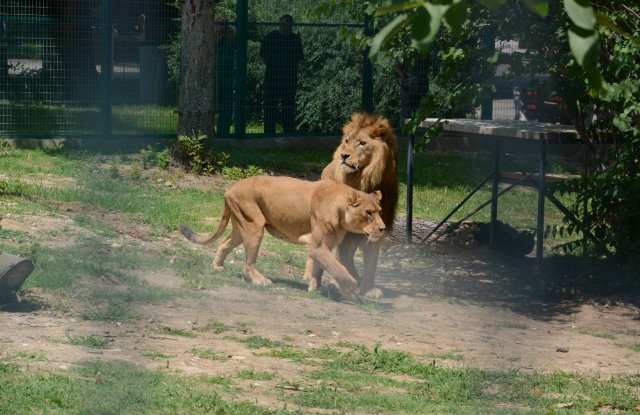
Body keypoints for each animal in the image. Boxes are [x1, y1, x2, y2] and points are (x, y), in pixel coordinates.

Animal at [180, 176, 384, 302]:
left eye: (379, 211)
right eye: (369, 213)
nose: (382, 229)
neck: (341, 210)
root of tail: (229, 189)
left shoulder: (326, 245)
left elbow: (321, 269)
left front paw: (315, 288)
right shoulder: (318, 246)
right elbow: (339, 269)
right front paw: (352, 290)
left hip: (242, 226)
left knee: (224, 243)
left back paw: (217, 266)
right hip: (254, 225)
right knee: (248, 264)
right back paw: (260, 280)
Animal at [304, 112, 398, 300]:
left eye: (362, 143)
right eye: (347, 141)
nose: (344, 156)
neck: (361, 180)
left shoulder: (378, 227)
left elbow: (371, 262)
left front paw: (368, 289)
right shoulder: (341, 231)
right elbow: (336, 258)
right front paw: (333, 283)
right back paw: (314, 279)